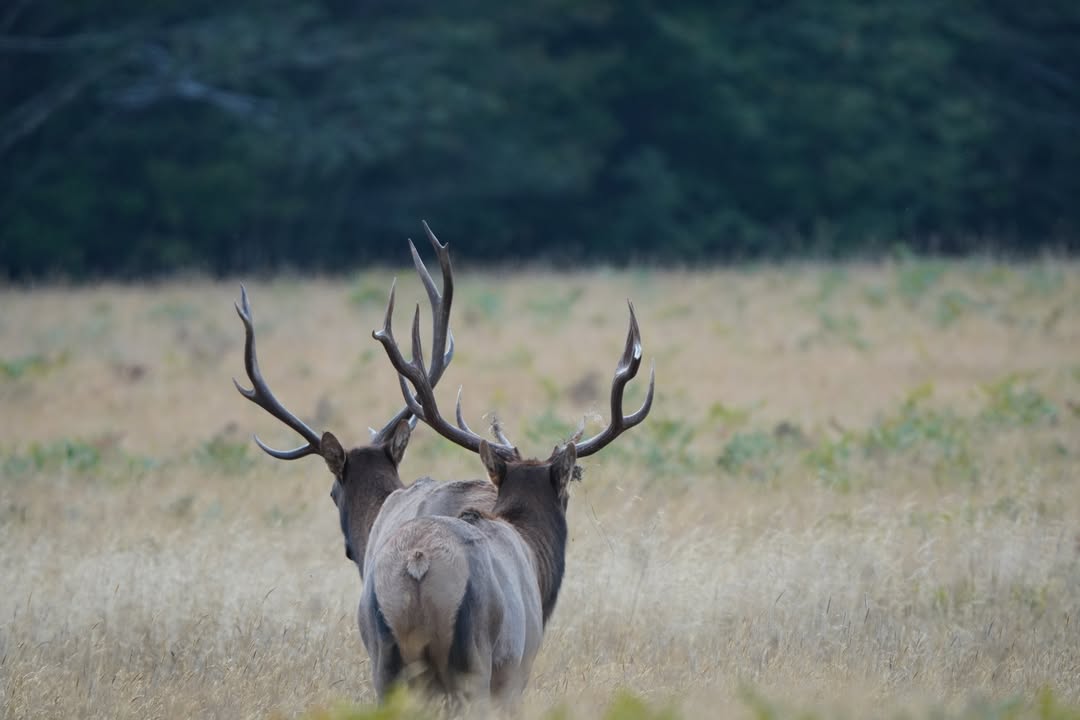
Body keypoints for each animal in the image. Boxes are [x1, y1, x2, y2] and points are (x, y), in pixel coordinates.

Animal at [360, 289, 654, 705]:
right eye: (569, 484)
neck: (532, 552)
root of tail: (417, 565)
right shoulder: (519, 667)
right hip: (475, 658)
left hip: (383, 659)